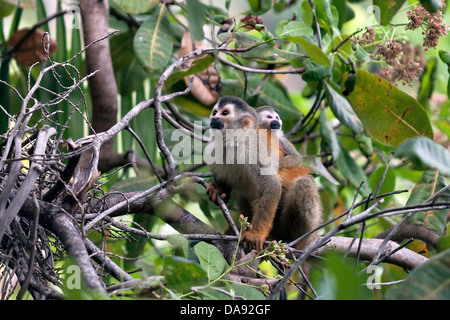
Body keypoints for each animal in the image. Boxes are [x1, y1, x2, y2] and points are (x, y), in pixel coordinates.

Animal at [207, 96, 282, 251]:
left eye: (224, 113)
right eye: (215, 112)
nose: (214, 117)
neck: (233, 143)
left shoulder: (252, 154)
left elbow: (272, 187)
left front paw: (256, 234)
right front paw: (219, 189)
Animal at [255, 106, 322, 249]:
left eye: (277, 117)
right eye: (269, 117)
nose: (276, 121)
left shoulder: (282, 139)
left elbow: (296, 158)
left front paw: (281, 162)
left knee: (304, 182)